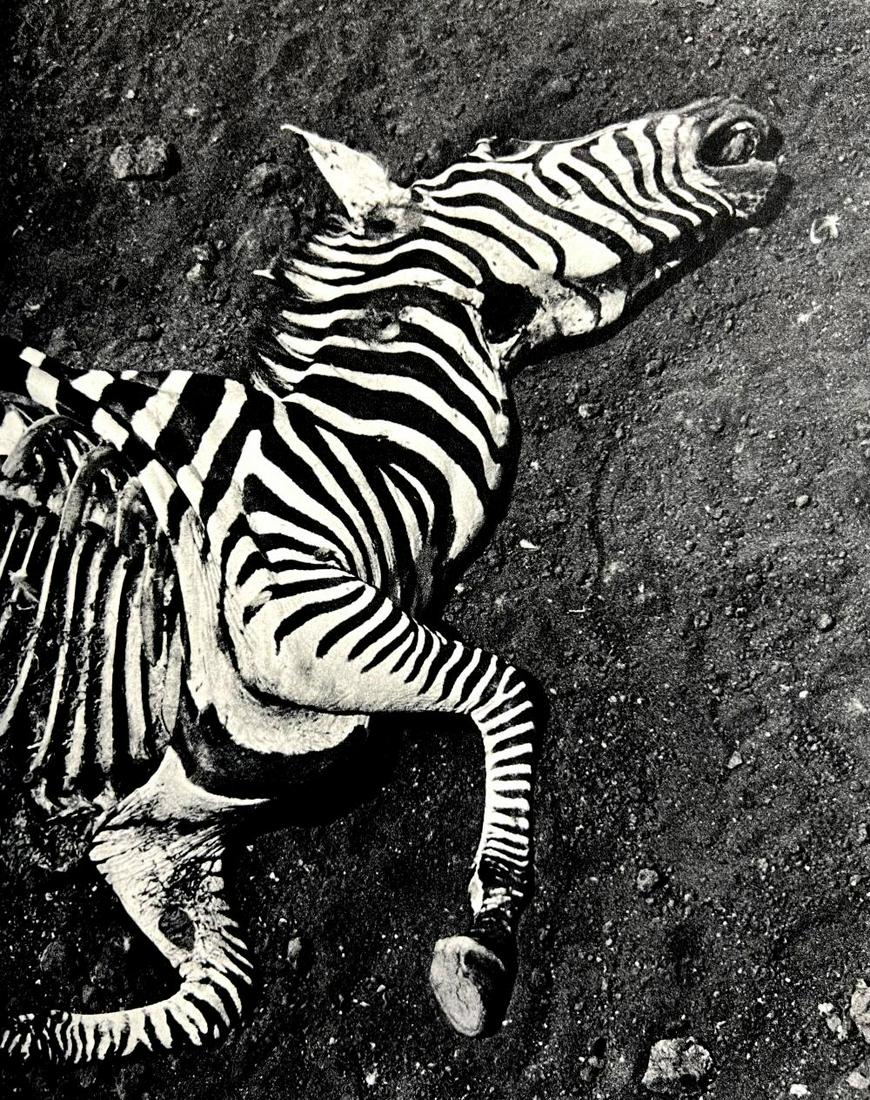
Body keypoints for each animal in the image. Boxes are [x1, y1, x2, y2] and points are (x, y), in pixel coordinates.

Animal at [0, 95, 782, 1063]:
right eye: (506, 147)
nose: (739, 119)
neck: (359, 453)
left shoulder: (162, 830)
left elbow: (214, 992)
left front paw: (31, 1032)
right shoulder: (294, 610)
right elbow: (506, 689)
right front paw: (484, 933)